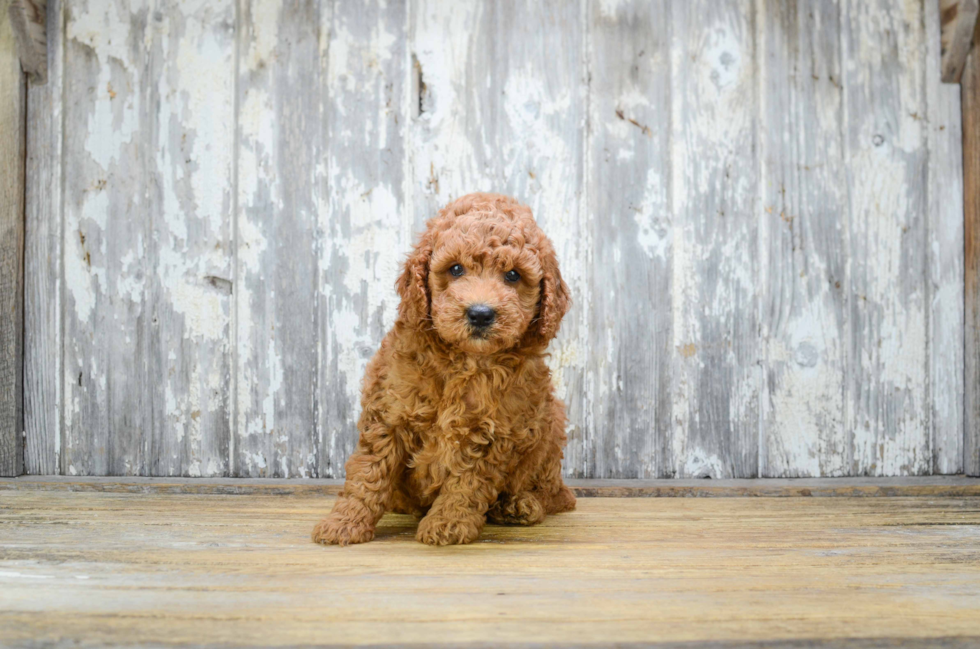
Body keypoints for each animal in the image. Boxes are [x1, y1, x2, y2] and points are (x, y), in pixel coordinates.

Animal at [312, 194, 576, 548]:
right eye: (455, 269)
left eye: (513, 275)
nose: (480, 314)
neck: (463, 360)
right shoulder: (388, 414)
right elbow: (368, 472)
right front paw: (343, 522)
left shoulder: (493, 433)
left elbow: (466, 482)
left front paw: (447, 523)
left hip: (551, 425)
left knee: (554, 493)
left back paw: (520, 504)